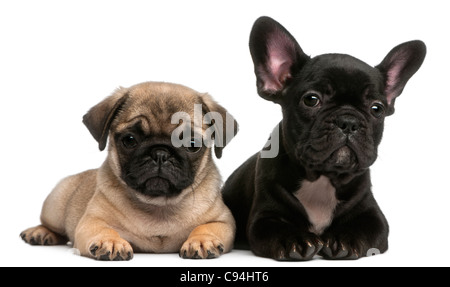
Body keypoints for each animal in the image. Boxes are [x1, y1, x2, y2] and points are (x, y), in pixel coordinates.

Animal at [223, 16, 428, 262]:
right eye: (311, 99)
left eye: (377, 108)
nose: (348, 121)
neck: (322, 178)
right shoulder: (265, 217)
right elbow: (277, 227)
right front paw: (296, 239)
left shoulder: (373, 216)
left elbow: (364, 227)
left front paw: (344, 238)